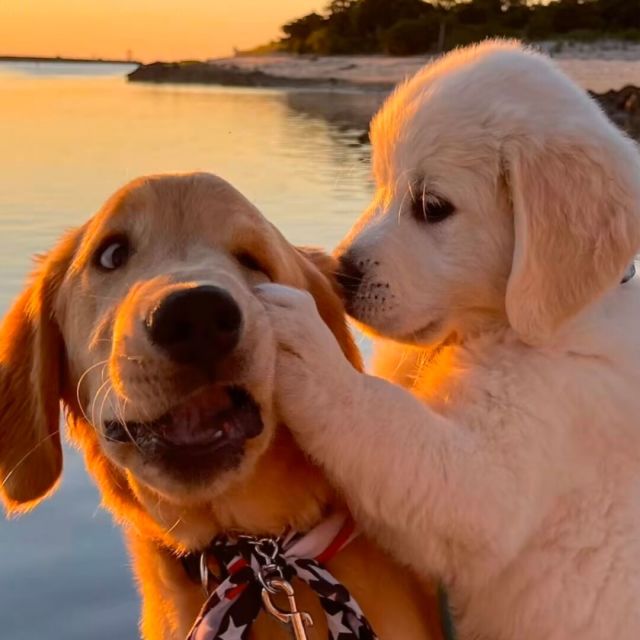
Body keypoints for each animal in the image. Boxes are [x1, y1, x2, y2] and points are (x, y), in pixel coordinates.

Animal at [257, 41, 640, 640]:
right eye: (381, 184)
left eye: (431, 207)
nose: (341, 274)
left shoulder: (510, 463)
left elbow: (384, 425)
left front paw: (304, 341)